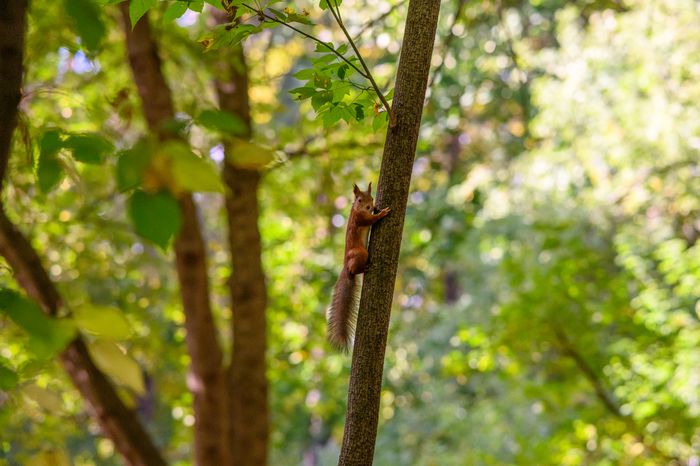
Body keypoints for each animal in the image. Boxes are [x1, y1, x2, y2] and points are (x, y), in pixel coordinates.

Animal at [327, 182, 390, 351]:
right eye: (360, 200)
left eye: (372, 198)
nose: (369, 206)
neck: (356, 209)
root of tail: (345, 265)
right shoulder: (360, 219)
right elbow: (371, 220)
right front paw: (382, 213)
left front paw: (377, 208)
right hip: (361, 253)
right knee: (354, 269)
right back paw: (363, 269)